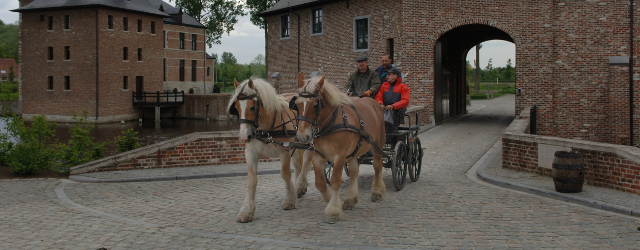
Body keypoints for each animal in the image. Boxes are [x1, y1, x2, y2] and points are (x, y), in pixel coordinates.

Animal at [228, 78, 312, 223]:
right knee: (297, 164)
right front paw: (246, 210)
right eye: (237, 107)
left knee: (306, 161)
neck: (266, 128)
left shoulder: (284, 152)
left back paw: (300, 184)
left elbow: (285, 174)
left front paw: (289, 199)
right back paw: (297, 187)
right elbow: (251, 180)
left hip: (307, 140)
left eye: (252, 107)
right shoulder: (250, 154)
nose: (244, 137)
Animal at [290, 73, 384, 223]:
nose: (303, 136)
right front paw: (330, 199)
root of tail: (374, 103)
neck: (330, 123)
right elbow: (320, 183)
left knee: (377, 165)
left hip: (378, 143)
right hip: (353, 151)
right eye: (297, 105)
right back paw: (350, 199)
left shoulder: (339, 156)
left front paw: (333, 209)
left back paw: (377, 192)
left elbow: (335, 181)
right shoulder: (318, 156)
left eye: (315, 105)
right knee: (354, 171)